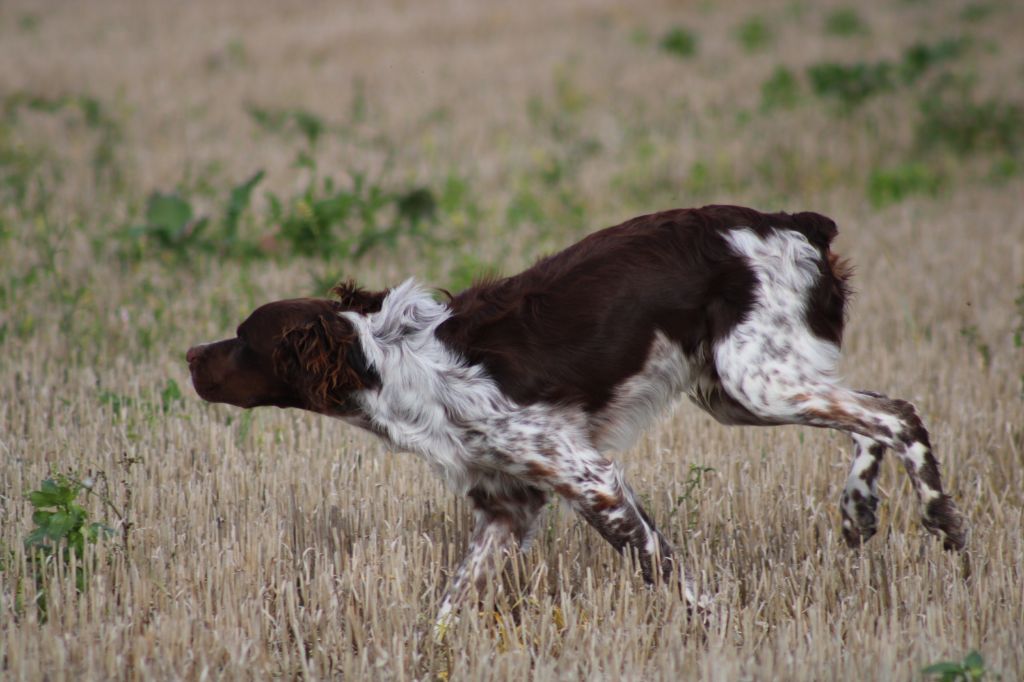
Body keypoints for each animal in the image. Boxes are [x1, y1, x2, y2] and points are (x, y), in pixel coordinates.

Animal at [186, 202, 966, 614]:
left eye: (244, 339)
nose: (190, 356)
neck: (397, 363)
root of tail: (788, 222)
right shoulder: (509, 507)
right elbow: (448, 608)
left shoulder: (591, 478)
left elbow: (661, 570)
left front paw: (708, 624)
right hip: (738, 391)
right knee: (868, 415)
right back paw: (858, 509)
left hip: (754, 382)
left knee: (897, 414)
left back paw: (941, 520)